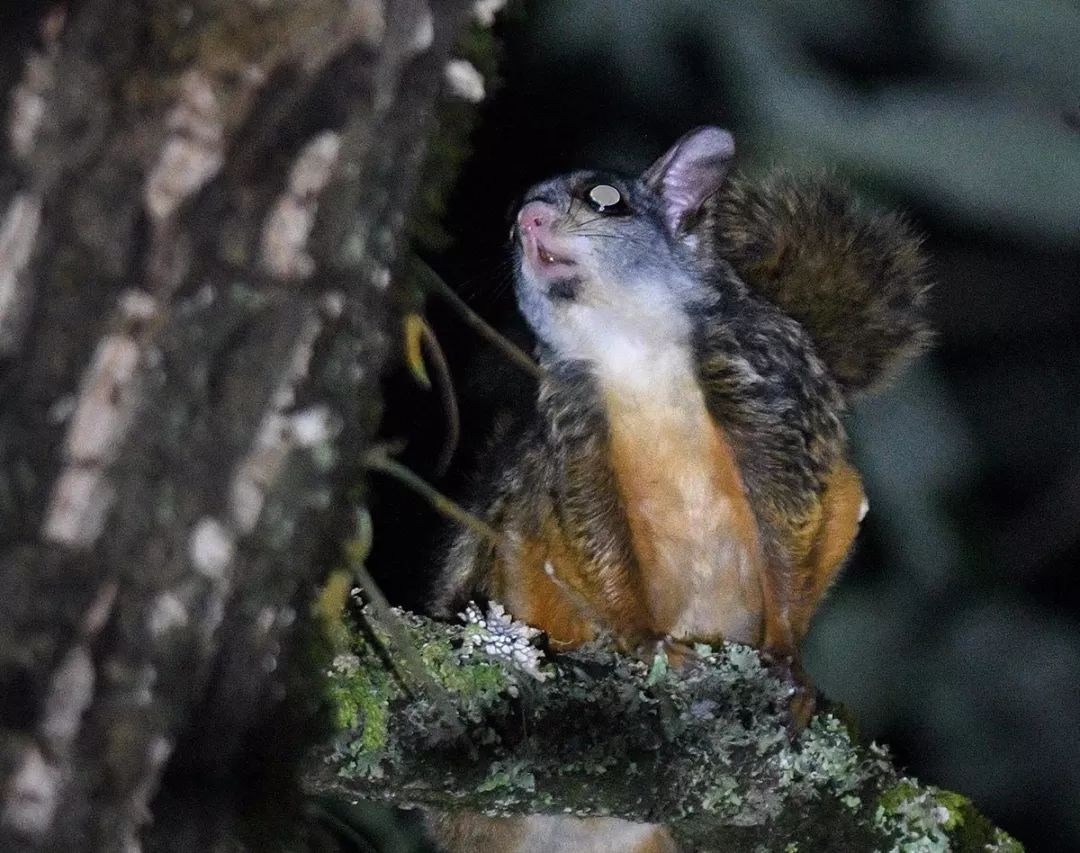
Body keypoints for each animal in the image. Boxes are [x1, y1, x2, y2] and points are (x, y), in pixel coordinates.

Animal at [427, 126, 928, 853]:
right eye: (510, 217)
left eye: (605, 199)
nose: (529, 222)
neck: (632, 347)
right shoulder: (571, 426)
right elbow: (589, 524)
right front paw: (645, 643)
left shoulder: (772, 396)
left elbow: (794, 523)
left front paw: (787, 663)